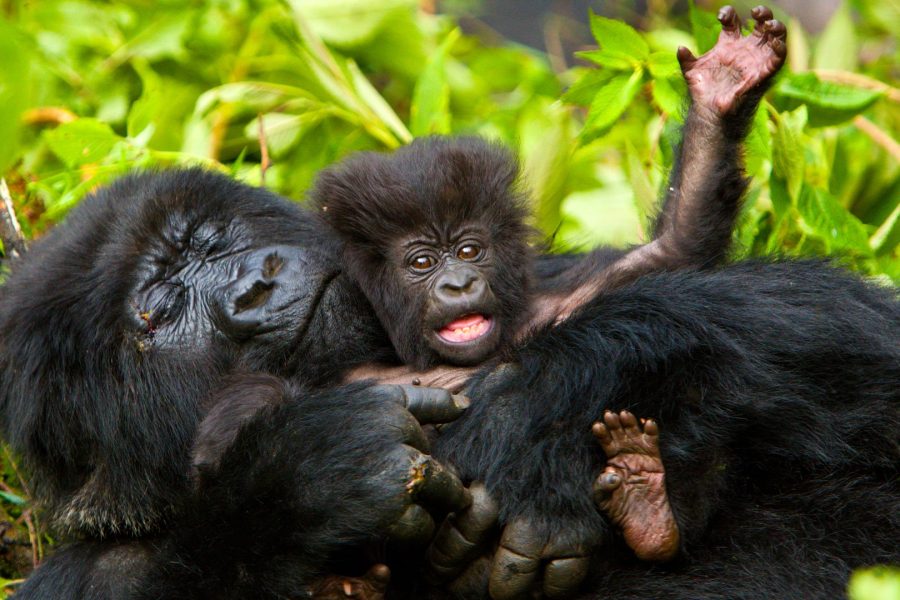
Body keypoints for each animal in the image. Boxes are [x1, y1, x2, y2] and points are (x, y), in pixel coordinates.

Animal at [0, 165, 896, 600]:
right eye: (157, 313)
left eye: (208, 240)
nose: (253, 285)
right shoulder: (86, 574)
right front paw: (313, 473)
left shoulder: (545, 284)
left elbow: (829, 328)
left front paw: (528, 425)